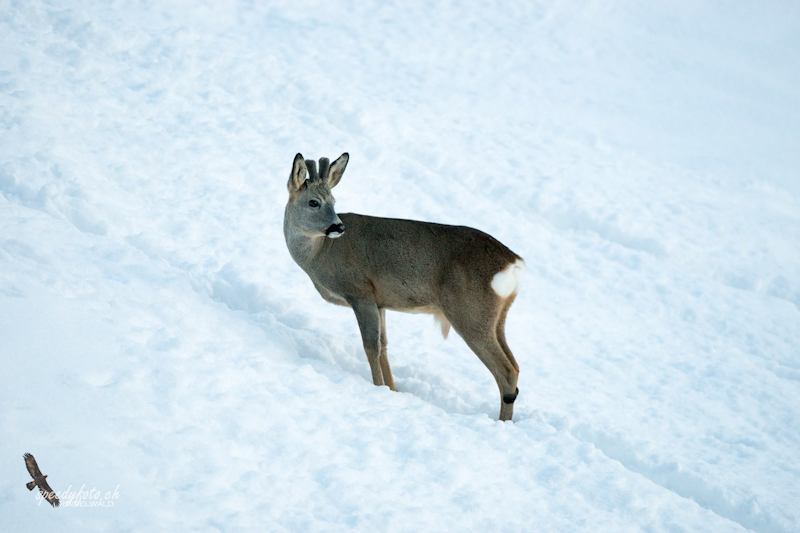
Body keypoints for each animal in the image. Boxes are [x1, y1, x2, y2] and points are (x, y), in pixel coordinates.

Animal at [282, 153, 524, 420]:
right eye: (314, 202)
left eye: (333, 201)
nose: (338, 226)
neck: (321, 253)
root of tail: (512, 263)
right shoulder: (380, 302)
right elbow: (385, 346)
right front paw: (392, 389)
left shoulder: (360, 292)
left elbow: (371, 346)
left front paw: (377, 387)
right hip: (496, 316)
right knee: (515, 365)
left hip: (470, 312)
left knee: (506, 370)